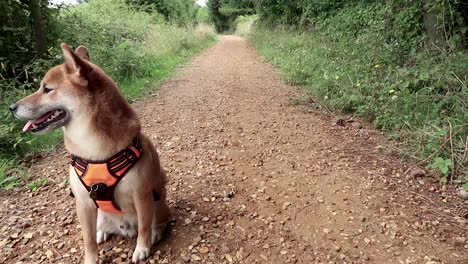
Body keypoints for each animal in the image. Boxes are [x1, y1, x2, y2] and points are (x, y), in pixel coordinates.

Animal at [10, 42, 171, 262]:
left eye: (47, 89)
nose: (11, 107)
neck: (93, 150)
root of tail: (126, 228)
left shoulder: (142, 195)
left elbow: (145, 228)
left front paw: (142, 248)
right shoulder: (83, 203)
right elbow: (87, 239)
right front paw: (90, 259)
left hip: (157, 203)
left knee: (154, 223)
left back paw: (155, 233)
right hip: (100, 214)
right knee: (100, 228)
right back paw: (102, 232)